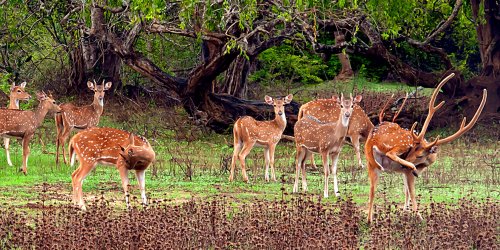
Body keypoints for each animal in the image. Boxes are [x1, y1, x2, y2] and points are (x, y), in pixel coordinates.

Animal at [366, 73, 486, 224]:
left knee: (372, 190)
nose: (406, 163)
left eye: (418, 154)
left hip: (372, 164)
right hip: (398, 144)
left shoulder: (404, 173)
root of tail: (372, 140)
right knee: (391, 154)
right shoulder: (407, 172)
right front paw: (416, 216)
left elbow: (405, 190)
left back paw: (369, 220)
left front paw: (405, 211)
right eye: (412, 150)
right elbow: (411, 192)